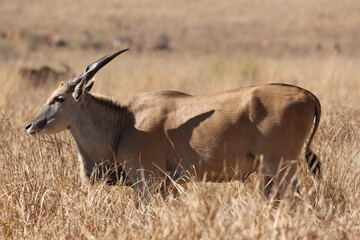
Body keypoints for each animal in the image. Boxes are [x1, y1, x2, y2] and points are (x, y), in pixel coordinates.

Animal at [26, 48, 322, 199]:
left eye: (59, 98)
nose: (30, 125)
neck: (125, 124)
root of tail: (308, 96)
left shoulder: (146, 181)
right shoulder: (168, 185)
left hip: (280, 165)